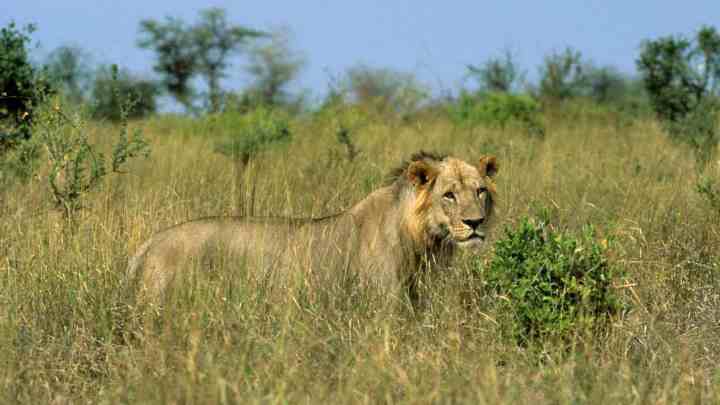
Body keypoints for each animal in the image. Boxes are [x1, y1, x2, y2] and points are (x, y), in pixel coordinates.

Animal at [127, 151, 499, 301]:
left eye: (480, 191)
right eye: (449, 195)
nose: (475, 222)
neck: (426, 240)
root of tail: (149, 243)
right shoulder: (385, 303)